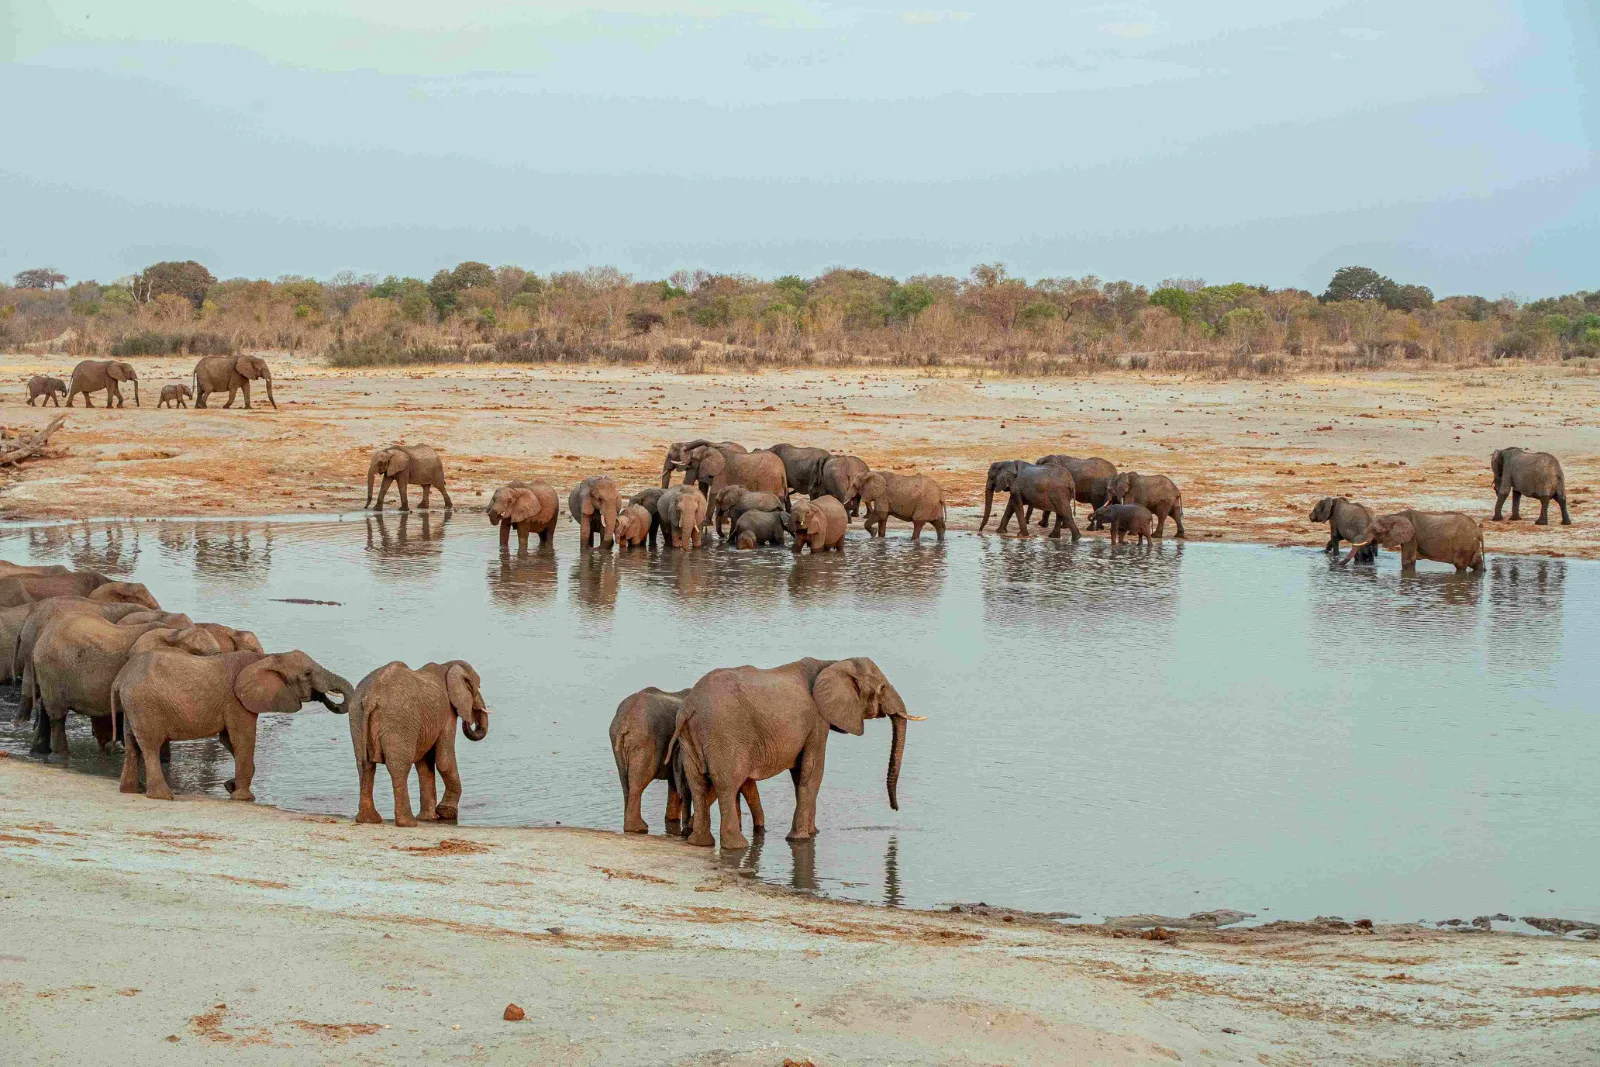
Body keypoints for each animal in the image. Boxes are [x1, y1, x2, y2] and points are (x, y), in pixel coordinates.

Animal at [115, 649, 353, 801]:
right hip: (145, 705)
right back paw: (163, 796)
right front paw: (243, 798)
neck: (267, 658)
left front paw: (230, 787)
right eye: (307, 673)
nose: (324, 696)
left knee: (132, 745)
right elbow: (243, 737)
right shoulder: (237, 702)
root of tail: (121, 677)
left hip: (132, 706)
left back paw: (131, 790)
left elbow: (229, 739)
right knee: (150, 746)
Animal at [350, 660, 489, 826]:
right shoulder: (447, 713)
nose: (469, 720)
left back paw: (369, 820)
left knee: (365, 766)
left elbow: (424, 764)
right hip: (399, 722)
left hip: (356, 716)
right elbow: (444, 761)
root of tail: (370, 697)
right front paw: (446, 813)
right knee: (399, 768)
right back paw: (408, 823)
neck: (447, 666)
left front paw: (429, 818)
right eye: (478, 687)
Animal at [671, 657, 917, 850]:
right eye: (882, 688)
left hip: (690, 737)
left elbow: (801, 773)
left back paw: (700, 843)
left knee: (698, 784)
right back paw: (736, 846)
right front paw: (801, 839)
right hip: (725, 732)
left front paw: (813, 832)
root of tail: (690, 707)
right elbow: (813, 771)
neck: (833, 663)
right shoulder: (817, 720)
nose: (895, 809)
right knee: (727, 784)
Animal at [1343, 510, 1485, 573]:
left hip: (1464, 545)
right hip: (1470, 544)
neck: (1395, 516)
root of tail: (1479, 531)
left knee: (1460, 565)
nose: (1339, 565)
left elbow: (1408, 560)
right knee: (1476, 562)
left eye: (1375, 530)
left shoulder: (1412, 537)